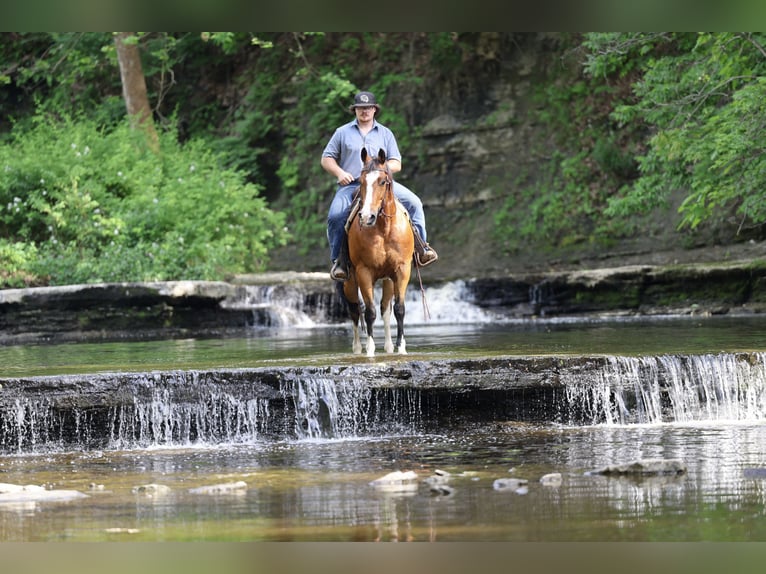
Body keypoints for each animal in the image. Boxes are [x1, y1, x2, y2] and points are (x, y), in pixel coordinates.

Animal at [338, 147, 415, 357]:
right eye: (361, 181)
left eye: (382, 181)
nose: (366, 217)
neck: (384, 228)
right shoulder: (364, 271)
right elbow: (369, 312)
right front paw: (370, 349)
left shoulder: (402, 270)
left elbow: (399, 309)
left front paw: (401, 346)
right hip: (349, 281)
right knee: (355, 310)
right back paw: (358, 348)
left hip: (387, 279)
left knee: (385, 309)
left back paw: (388, 346)